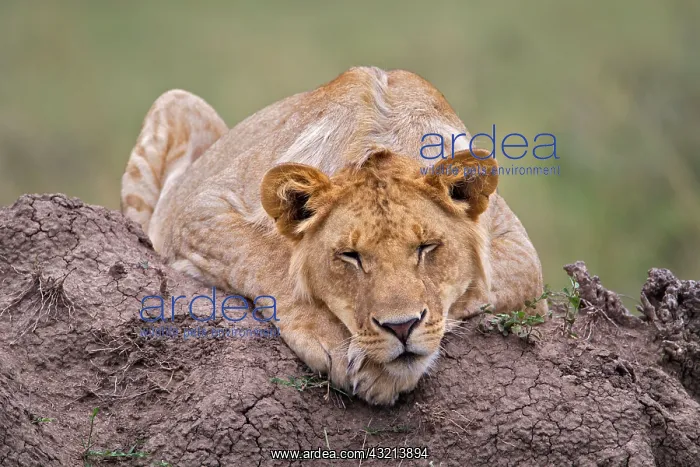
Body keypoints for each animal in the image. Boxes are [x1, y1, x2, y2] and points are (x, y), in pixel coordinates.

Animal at [121, 66, 546, 405]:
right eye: (350, 256)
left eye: (427, 248)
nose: (401, 328)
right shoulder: (200, 209)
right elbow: (268, 258)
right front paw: (338, 345)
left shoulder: (518, 249)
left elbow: (483, 286)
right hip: (177, 105)